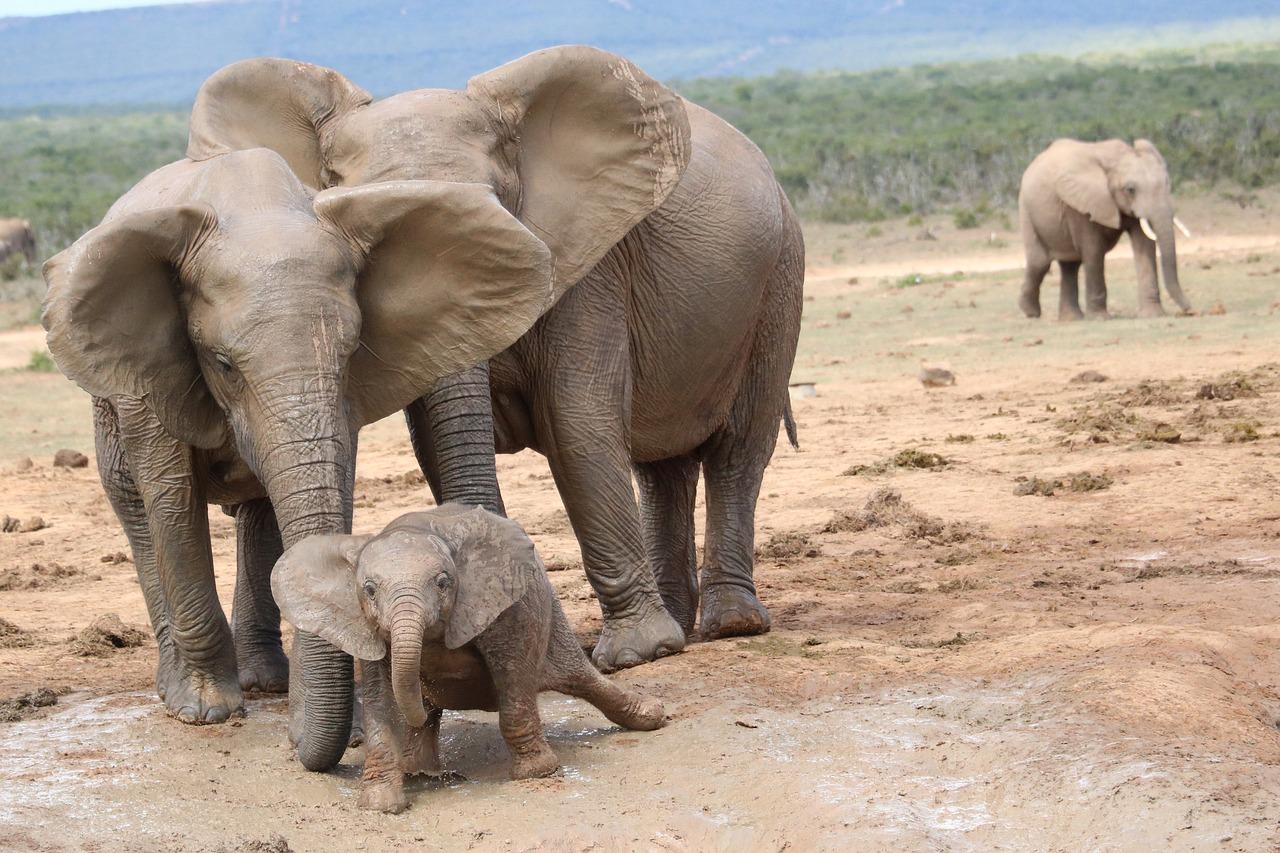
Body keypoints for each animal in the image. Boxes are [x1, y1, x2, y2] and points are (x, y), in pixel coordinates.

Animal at [45, 51, 691, 768]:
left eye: (353, 351)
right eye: (222, 364)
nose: (302, 744)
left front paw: (344, 721)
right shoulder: (147, 373)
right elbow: (171, 496)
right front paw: (207, 710)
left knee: (259, 512)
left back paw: (268, 683)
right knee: (137, 508)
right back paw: (195, 690)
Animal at [188, 44, 798, 671]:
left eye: (500, 209)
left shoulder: (588, 267)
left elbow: (578, 425)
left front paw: (636, 655)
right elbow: (437, 441)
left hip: (779, 280)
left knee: (738, 448)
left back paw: (730, 625)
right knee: (662, 468)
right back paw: (682, 621)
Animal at [273, 504, 665, 809]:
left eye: (443, 583)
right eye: (368, 590)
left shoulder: (506, 602)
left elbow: (513, 670)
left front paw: (537, 773)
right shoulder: (366, 629)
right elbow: (380, 697)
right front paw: (381, 804)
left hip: (551, 612)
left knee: (580, 677)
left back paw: (652, 715)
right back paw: (419, 771)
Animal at [1013, 139, 1192, 318]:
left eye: (1167, 183)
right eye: (1130, 190)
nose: (1189, 309)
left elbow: (1144, 245)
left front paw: (1153, 315)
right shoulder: (1081, 203)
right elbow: (1093, 250)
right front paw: (1100, 318)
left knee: (1070, 265)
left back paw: (1071, 318)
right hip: (1026, 209)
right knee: (1040, 262)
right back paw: (1030, 312)